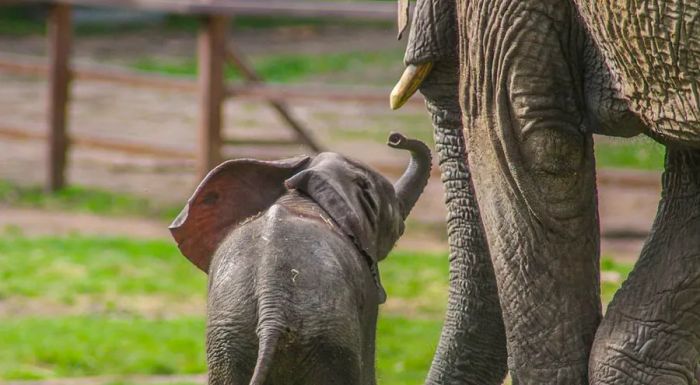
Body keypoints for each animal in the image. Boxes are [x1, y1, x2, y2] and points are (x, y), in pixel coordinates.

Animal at [170, 133, 432, 384]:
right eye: (398, 224)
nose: (396, 138)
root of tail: (271, 310)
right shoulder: (367, 290)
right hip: (327, 338)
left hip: (231, 336)